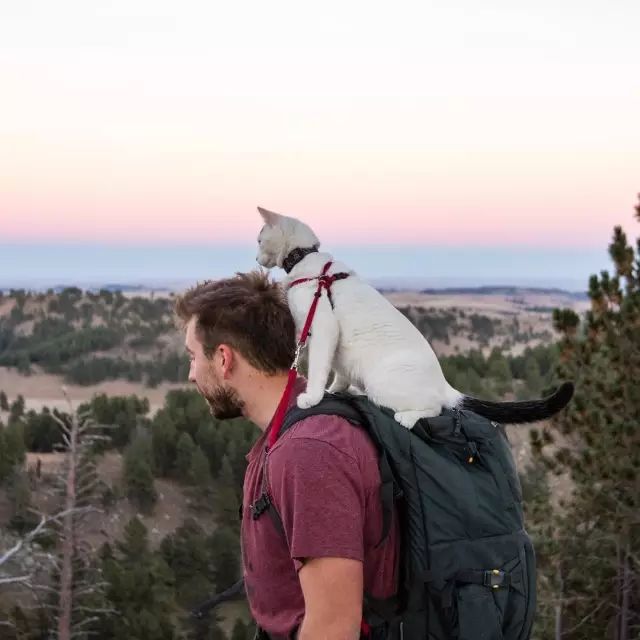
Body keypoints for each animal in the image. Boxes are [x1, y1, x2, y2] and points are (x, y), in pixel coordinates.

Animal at [255, 206, 576, 424]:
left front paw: (312, 397)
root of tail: (445, 385)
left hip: (381, 384)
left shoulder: (322, 328)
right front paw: (336, 391)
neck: (304, 259)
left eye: (259, 240)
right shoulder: (326, 341)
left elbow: (318, 370)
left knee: (435, 407)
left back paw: (407, 418)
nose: (256, 257)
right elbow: (338, 374)